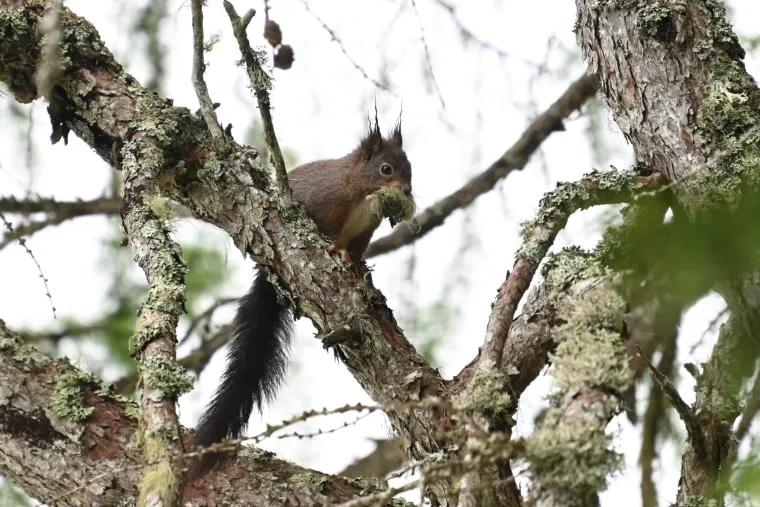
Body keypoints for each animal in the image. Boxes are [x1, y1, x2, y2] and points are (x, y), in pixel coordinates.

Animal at [188, 114, 412, 478]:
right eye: (386, 169)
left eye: (411, 169)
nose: (407, 191)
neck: (359, 191)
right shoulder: (327, 207)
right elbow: (330, 235)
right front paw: (337, 251)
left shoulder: (365, 233)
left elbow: (358, 252)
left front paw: (360, 267)